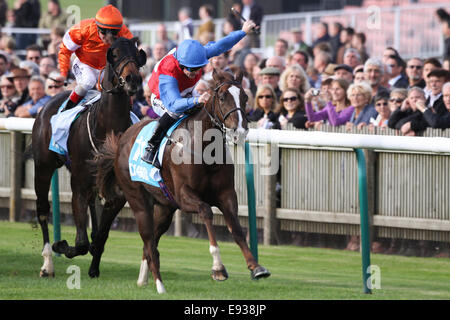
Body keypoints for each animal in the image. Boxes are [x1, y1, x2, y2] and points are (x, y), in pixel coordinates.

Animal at [32, 37, 148, 278]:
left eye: (136, 54)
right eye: (115, 54)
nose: (133, 79)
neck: (106, 128)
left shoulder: (117, 191)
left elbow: (100, 235)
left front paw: (94, 267)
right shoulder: (79, 184)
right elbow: (82, 243)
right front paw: (61, 245)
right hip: (43, 166)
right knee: (43, 210)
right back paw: (47, 263)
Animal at [95, 69, 268, 294]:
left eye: (245, 97)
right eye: (222, 97)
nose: (239, 131)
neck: (205, 149)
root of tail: (122, 141)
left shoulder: (227, 194)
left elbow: (236, 228)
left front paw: (256, 267)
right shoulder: (184, 196)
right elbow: (206, 211)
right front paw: (218, 268)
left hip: (165, 208)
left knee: (151, 242)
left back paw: (143, 279)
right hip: (138, 200)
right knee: (149, 240)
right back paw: (159, 285)